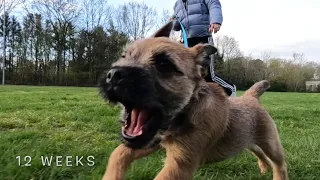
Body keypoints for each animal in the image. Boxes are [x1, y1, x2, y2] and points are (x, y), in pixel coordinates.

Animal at [98, 21, 288, 179]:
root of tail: (251, 97)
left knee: (280, 163)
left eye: (164, 64)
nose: (113, 75)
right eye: (124, 57)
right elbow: (119, 153)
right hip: (246, 140)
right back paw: (264, 167)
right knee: (258, 151)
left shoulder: (180, 164)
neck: (188, 109)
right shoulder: (153, 141)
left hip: (270, 142)